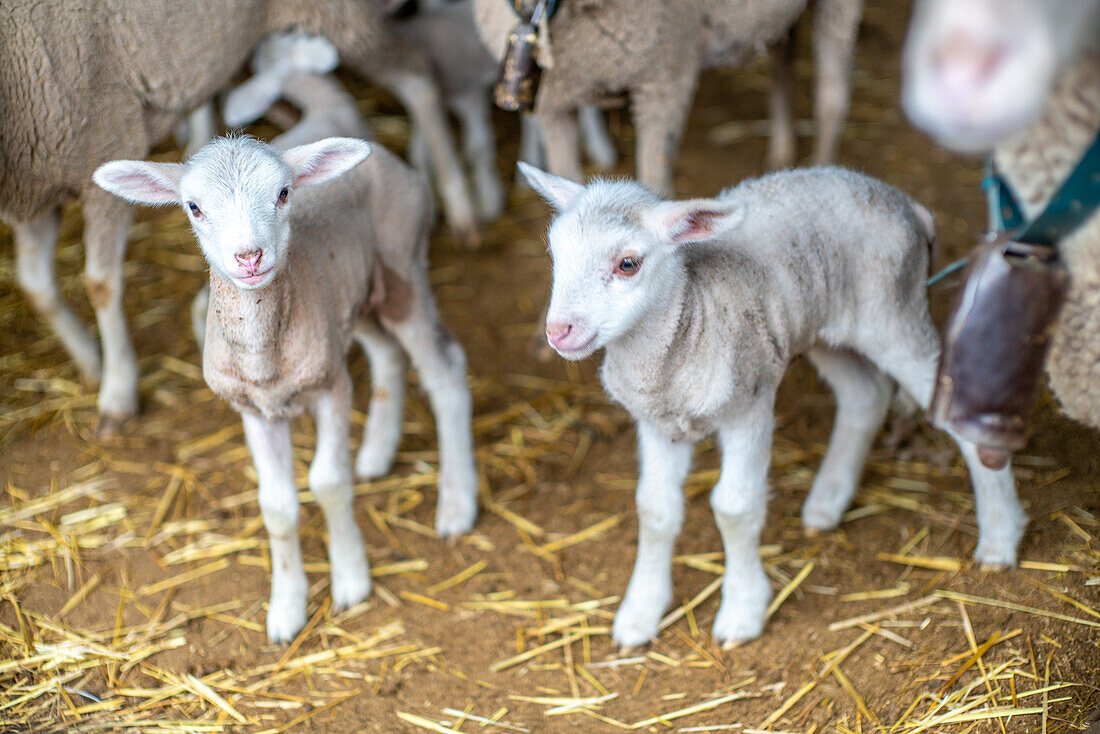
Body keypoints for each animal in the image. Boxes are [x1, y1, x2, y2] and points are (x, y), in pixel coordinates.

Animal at [1, 0, 477, 433]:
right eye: (193, 207)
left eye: (285, 193)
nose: (249, 258)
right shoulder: (32, 194)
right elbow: (36, 287)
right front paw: (90, 362)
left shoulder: (106, 140)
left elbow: (101, 284)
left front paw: (117, 391)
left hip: (346, 15)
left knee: (417, 78)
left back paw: (458, 201)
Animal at [91, 137, 477, 642]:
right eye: (194, 207)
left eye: (284, 193)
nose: (249, 258)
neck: (265, 360)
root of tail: (386, 155)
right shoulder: (254, 409)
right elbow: (276, 507)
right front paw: (287, 609)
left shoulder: (330, 387)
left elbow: (329, 484)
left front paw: (351, 580)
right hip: (352, 299)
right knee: (387, 354)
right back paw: (377, 453)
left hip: (403, 270)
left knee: (446, 369)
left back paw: (456, 505)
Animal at [477, 0, 862, 194]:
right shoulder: (553, 102)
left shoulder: (664, 81)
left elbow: (653, 184)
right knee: (784, 53)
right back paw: (782, 153)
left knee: (833, 95)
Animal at [519, 163, 1025, 647]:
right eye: (556, 253)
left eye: (628, 263)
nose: (558, 331)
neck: (687, 323)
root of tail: (908, 205)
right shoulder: (657, 422)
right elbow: (654, 509)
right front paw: (641, 612)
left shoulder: (749, 404)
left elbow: (734, 507)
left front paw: (742, 611)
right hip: (824, 326)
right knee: (865, 395)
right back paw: (827, 502)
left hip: (893, 314)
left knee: (958, 413)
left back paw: (1001, 538)